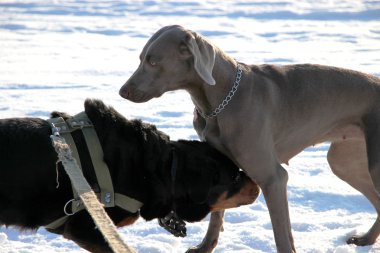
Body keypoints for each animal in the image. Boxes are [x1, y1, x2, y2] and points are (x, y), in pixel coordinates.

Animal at [120, 24, 380, 253]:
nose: (122, 91)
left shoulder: (273, 178)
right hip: (343, 161)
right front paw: (205, 247)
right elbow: (216, 213)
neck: (221, 100)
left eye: (153, 61)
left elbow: (281, 235)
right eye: (140, 58)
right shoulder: (220, 168)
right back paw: (366, 239)